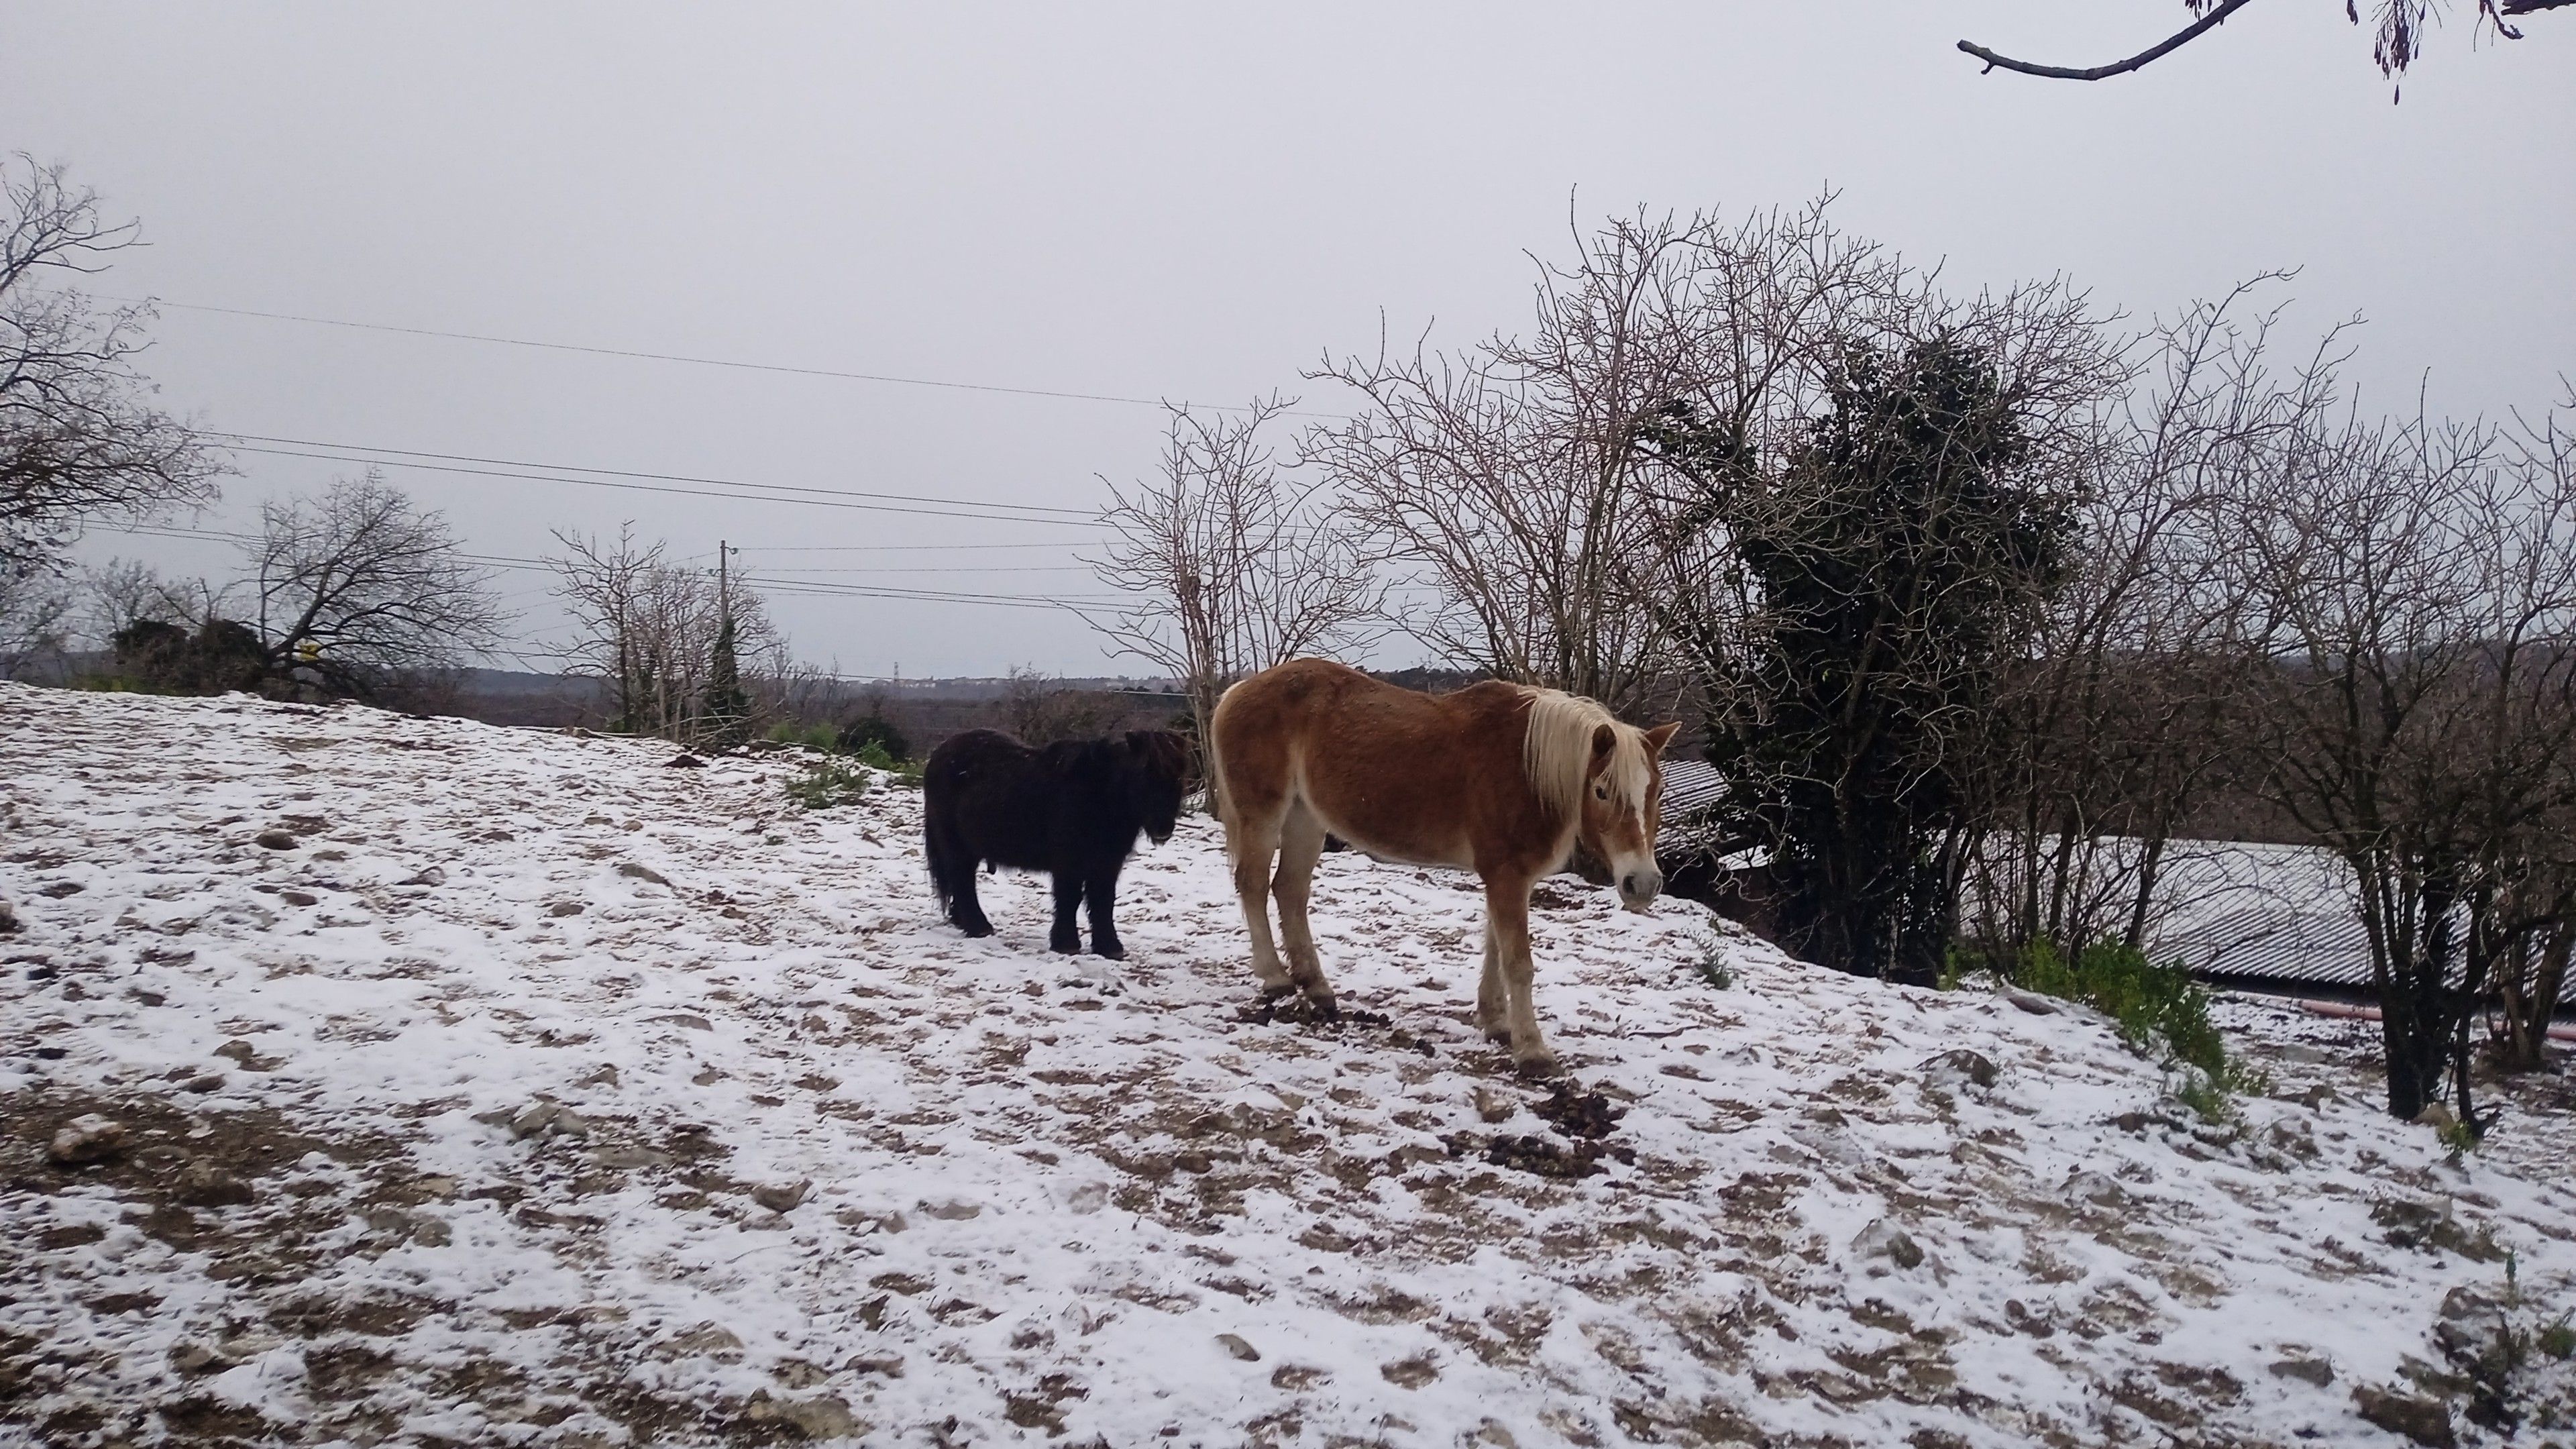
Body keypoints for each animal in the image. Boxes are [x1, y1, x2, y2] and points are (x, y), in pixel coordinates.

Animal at [922, 728, 1192, 959]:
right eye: (1144, 774)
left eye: (1177, 776)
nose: (1163, 828)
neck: (1100, 795)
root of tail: (938, 754)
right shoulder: (1069, 862)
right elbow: (1070, 899)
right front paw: (1066, 943)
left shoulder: (1106, 865)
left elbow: (1103, 902)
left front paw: (1109, 947)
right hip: (956, 845)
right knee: (962, 880)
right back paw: (978, 926)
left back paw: (962, 920)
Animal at [1210, 659, 1680, 1077]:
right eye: (1601, 791)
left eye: (1657, 790)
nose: (1642, 883)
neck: (1526, 766)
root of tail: (1239, 690)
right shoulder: (1506, 875)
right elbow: (1518, 964)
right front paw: (1533, 1052)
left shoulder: (1508, 876)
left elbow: (1495, 949)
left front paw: (1496, 1022)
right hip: (1264, 814)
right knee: (1253, 884)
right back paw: (1275, 979)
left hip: (1306, 819)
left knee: (1289, 890)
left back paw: (1318, 988)